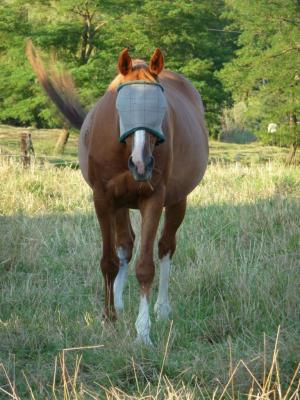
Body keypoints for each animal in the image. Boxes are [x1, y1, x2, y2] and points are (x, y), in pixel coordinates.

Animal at [27, 43, 207, 344]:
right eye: (121, 109)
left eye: (161, 112)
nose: (141, 164)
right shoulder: (103, 199)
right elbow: (109, 261)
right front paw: (108, 318)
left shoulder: (153, 199)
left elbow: (146, 267)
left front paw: (143, 332)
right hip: (121, 203)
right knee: (125, 245)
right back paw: (120, 304)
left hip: (177, 201)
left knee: (165, 247)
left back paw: (162, 308)